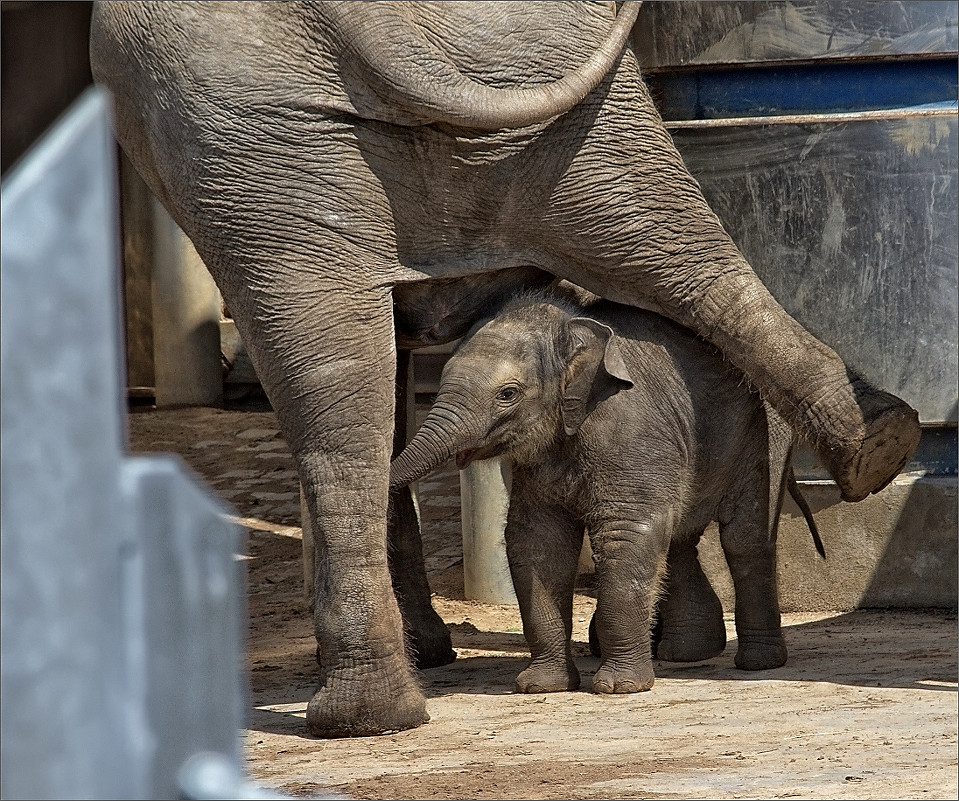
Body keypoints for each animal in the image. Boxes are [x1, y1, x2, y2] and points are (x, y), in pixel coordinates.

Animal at [390, 294, 816, 692]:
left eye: (507, 393)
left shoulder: (631, 432)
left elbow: (626, 533)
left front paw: (619, 688)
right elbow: (538, 542)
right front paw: (540, 686)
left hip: (764, 437)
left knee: (744, 537)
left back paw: (757, 663)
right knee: (678, 536)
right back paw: (686, 654)